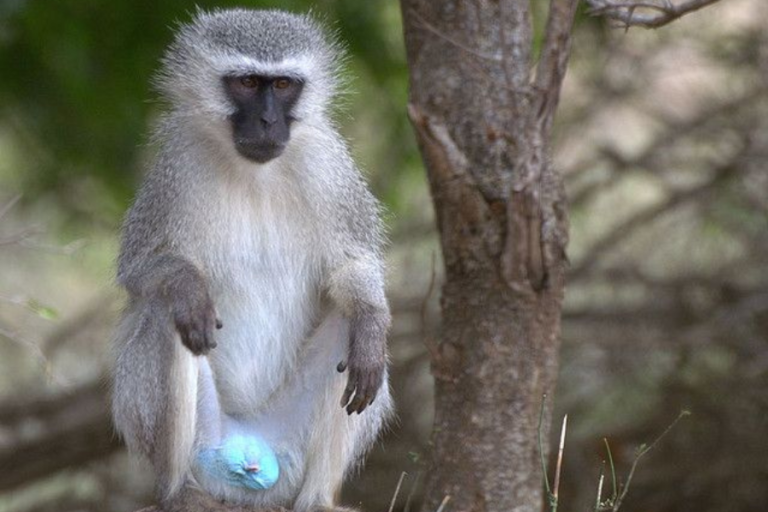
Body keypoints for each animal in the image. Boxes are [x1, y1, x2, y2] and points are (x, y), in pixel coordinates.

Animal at [111, 8, 392, 512]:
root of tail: (248, 447)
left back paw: (317, 500)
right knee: (166, 313)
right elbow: (141, 271)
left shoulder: (330, 168)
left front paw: (371, 321)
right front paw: (187, 286)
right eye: (245, 82)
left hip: (289, 450)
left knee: (349, 324)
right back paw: (180, 491)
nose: (266, 120)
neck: (253, 173)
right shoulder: (174, 170)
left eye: (282, 84)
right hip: (204, 443)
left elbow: (352, 267)